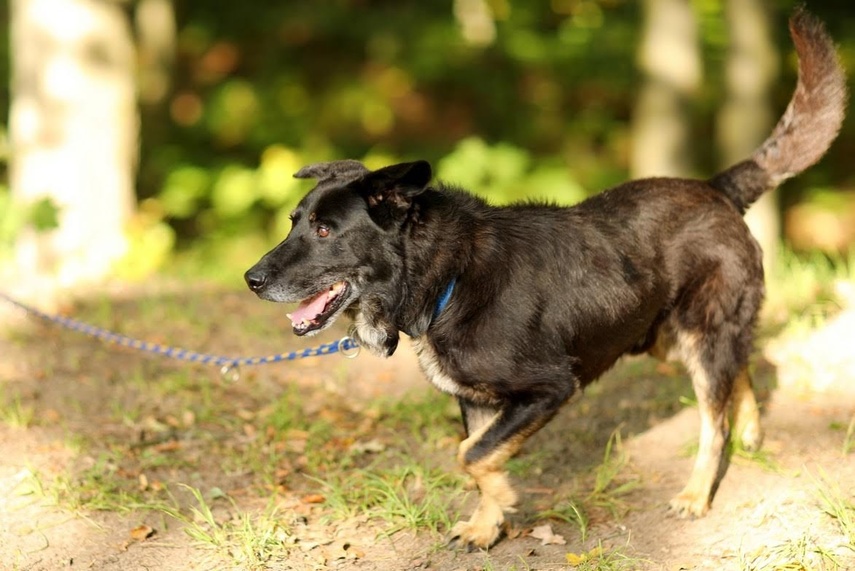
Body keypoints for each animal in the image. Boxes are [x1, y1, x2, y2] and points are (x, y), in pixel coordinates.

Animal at [244, 8, 844, 552]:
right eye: (294, 221)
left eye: (324, 230)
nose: (251, 279)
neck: (449, 279)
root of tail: (717, 189)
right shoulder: (477, 400)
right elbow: (477, 452)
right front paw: (487, 526)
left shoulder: (551, 387)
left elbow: (471, 454)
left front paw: (503, 503)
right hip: (666, 339)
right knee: (738, 370)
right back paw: (752, 431)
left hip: (698, 335)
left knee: (712, 419)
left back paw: (697, 493)